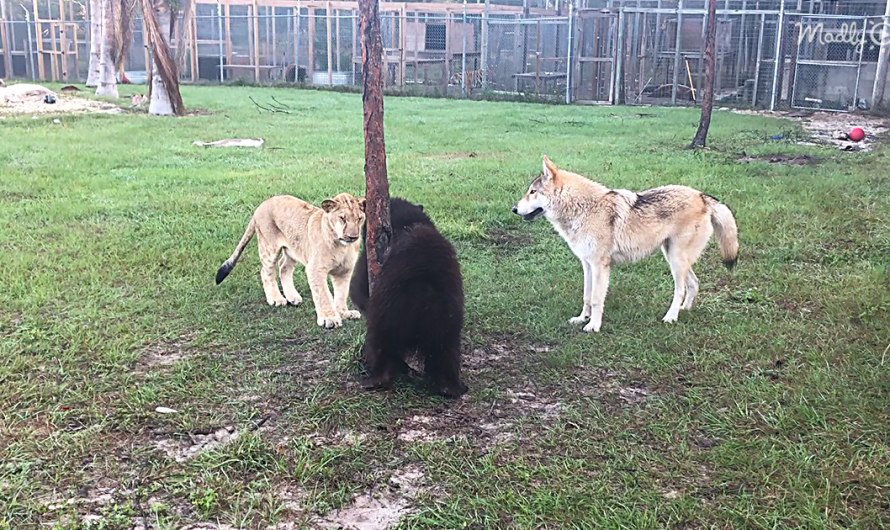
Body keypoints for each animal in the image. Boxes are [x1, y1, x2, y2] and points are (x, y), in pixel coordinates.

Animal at [510, 155, 740, 332]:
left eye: (532, 192)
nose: (514, 209)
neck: (583, 209)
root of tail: (702, 196)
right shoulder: (587, 265)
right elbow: (586, 296)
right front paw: (582, 318)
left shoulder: (600, 265)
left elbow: (596, 298)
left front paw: (593, 326)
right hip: (674, 257)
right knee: (693, 283)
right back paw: (685, 310)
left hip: (675, 260)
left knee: (680, 289)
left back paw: (671, 317)